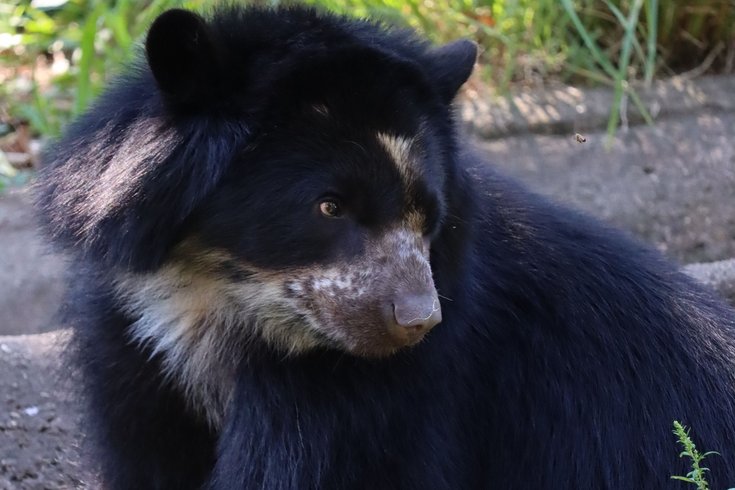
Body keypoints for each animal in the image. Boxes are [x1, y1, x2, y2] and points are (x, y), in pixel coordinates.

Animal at [34, 4, 735, 490]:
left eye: (428, 215)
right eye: (328, 206)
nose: (417, 320)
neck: (218, 306)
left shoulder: (380, 401)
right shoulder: (136, 350)